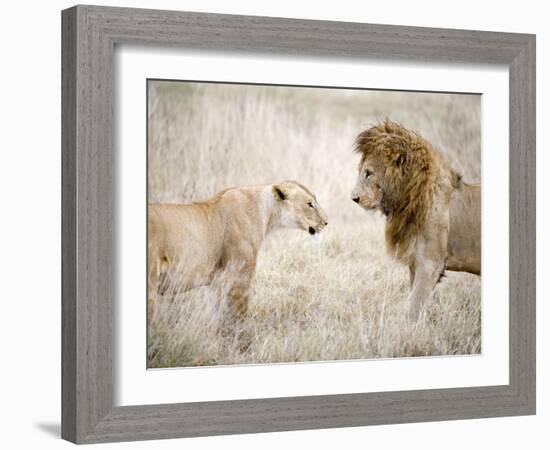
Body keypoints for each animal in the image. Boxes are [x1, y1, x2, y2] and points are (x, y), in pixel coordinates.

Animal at [149, 182, 330, 324]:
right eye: (310, 204)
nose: (326, 222)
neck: (267, 214)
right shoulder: (240, 278)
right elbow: (239, 320)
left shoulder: (220, 282)